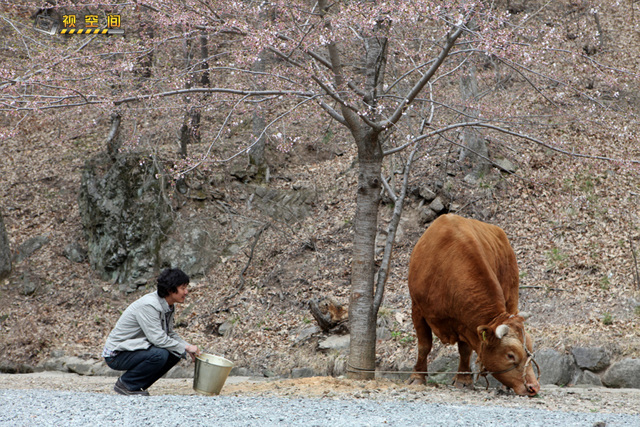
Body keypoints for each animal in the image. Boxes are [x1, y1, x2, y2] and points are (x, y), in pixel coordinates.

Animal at [404, 214, 540, 398]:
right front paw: (417, 377)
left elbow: (465, 350)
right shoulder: (417, 309)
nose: (533, 387)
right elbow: (424, 346)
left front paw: (463, 380)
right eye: (510, 355)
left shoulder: (466, 322)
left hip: (512, 296)